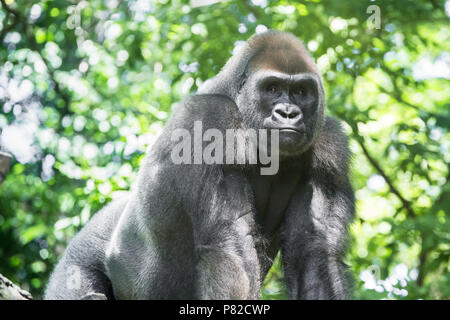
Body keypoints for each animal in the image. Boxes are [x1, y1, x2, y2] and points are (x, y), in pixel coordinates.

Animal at [45, 30, 356, 300]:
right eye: (273, 88)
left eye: (302, 91)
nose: (289, 113)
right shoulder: (209, 121)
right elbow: (228, 251)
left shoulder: (329, 150)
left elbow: (313, 253)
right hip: (75, 263)